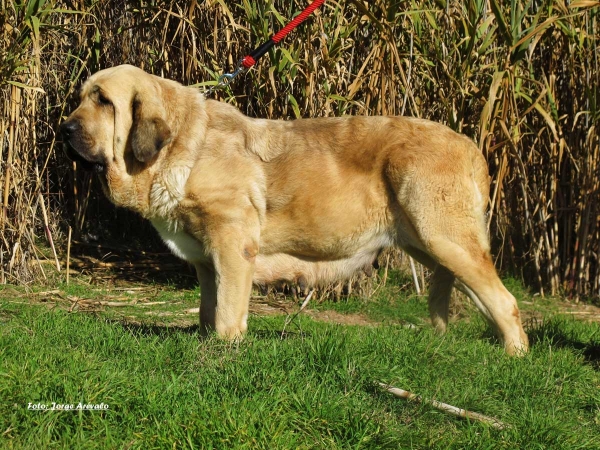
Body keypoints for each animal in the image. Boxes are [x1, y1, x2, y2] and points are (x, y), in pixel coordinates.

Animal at [61, 64, 528, 356]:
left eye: (103, 101)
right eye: (81, 98)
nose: (64, 128)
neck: (182, 146)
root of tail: (472, 149)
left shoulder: (233, 247)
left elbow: (228, 313)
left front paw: (224, 352)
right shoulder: (207, 262)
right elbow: (209, 310)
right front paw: (207, 344)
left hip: (447, 240)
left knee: (504, 301)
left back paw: (514, 356)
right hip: (432, 246)